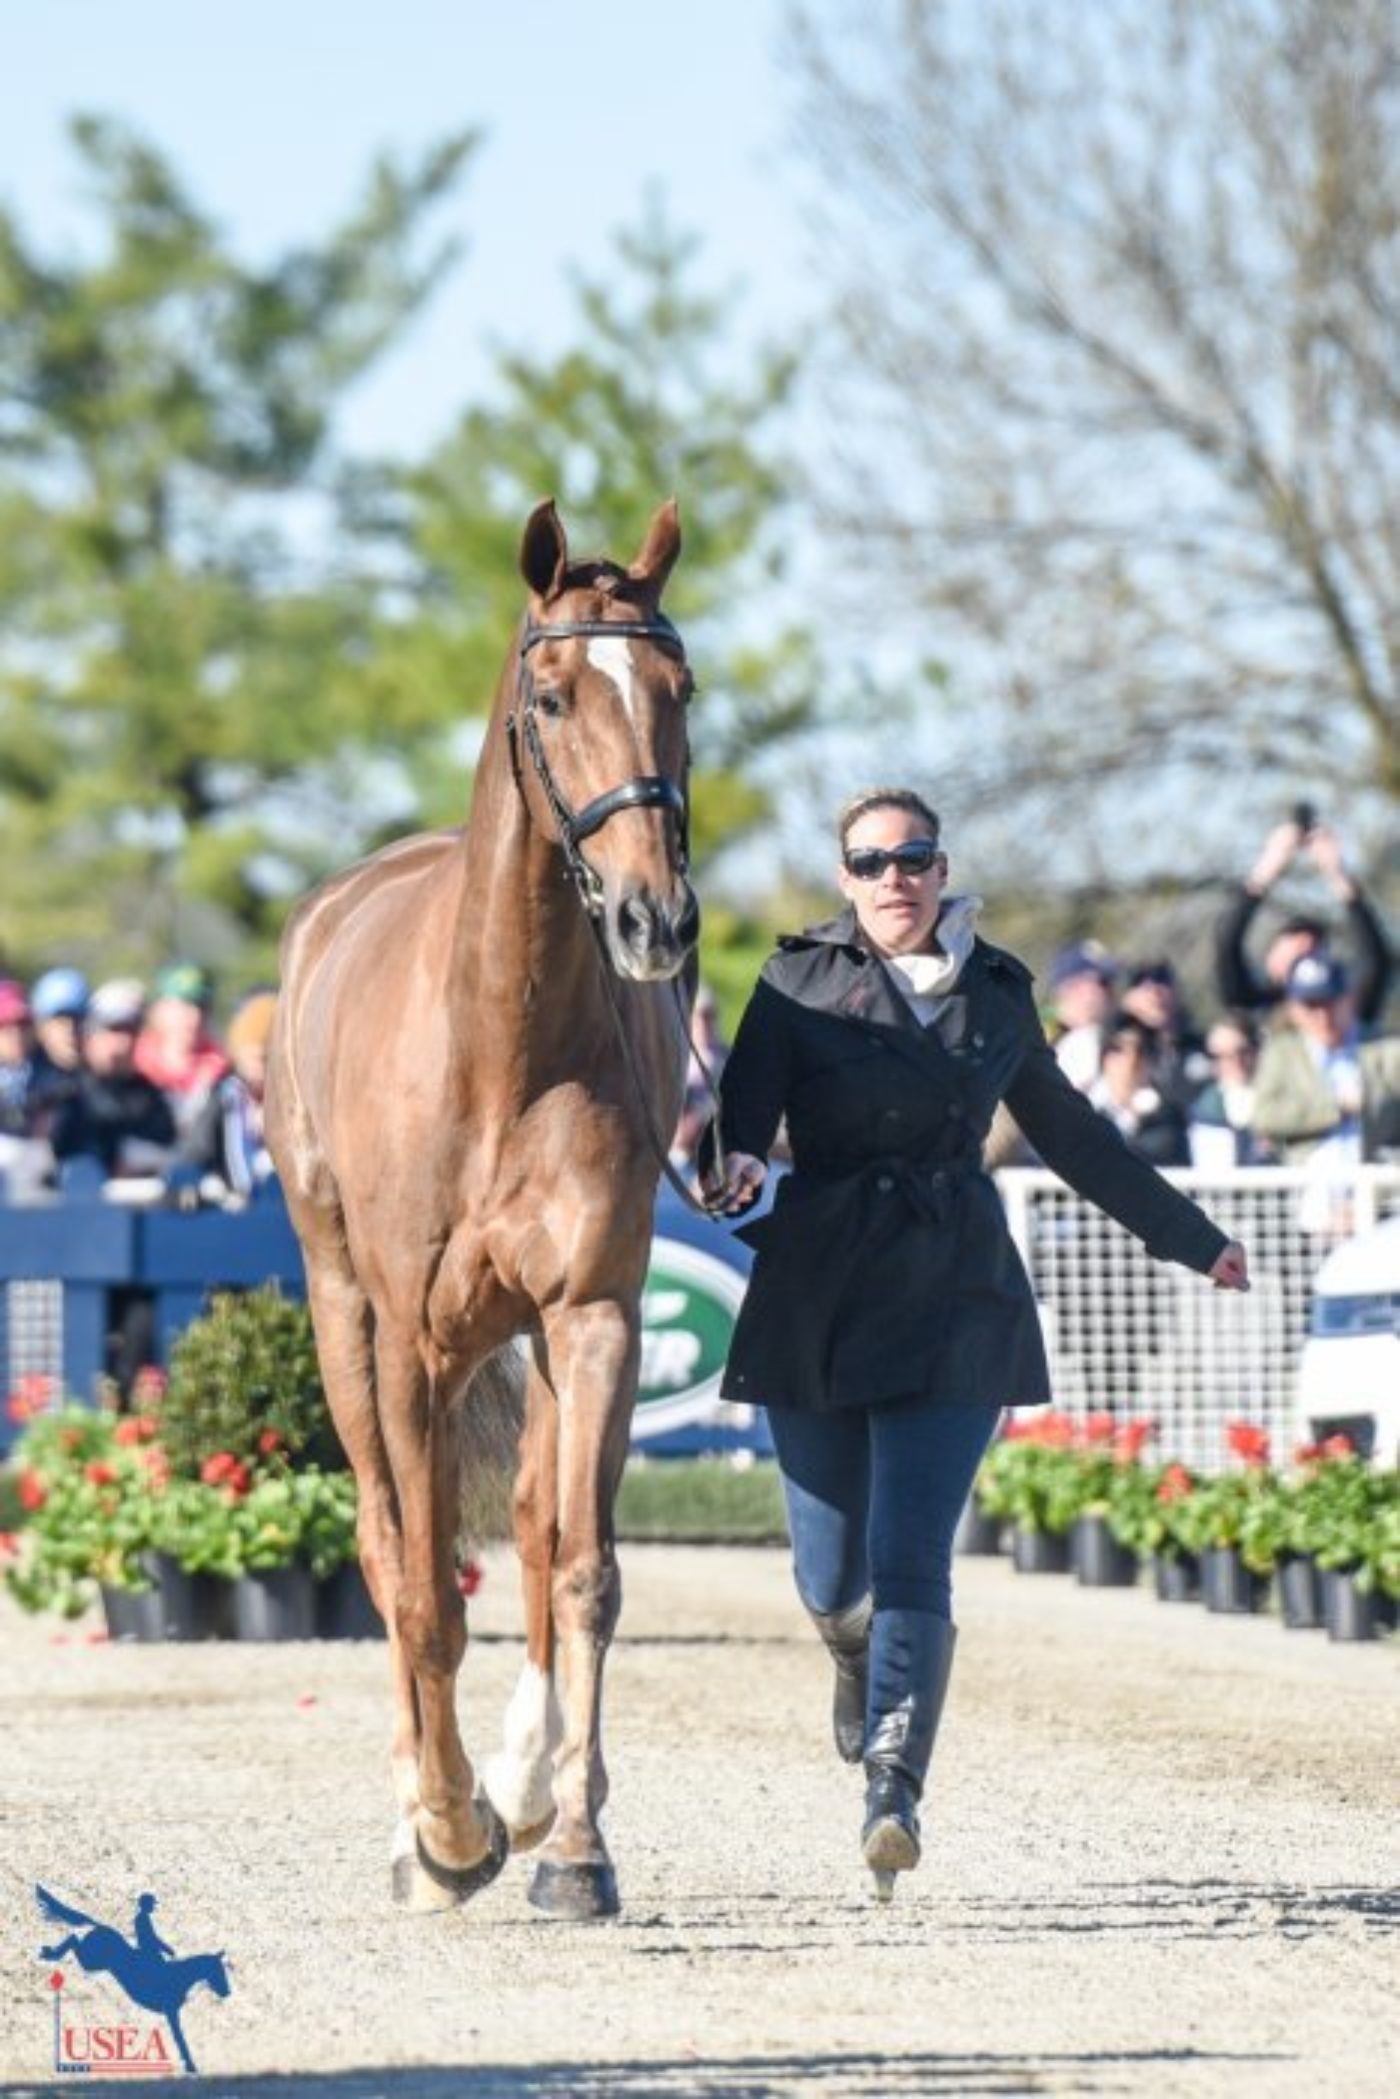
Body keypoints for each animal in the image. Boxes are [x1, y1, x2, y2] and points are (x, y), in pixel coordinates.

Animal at [264, 499, 701, 1914]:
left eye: (678, 693)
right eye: (551, 696)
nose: (655, 919)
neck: (500, 1048)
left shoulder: (592, 1315)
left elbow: (579, 1568)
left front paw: (569, 1844)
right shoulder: (404, 1339)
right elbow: (418, 1591)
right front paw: (448, 1833)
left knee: (519, 1521)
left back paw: (523, 1785)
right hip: (351, 1323)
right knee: (382, 1538)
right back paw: (427, 1816)